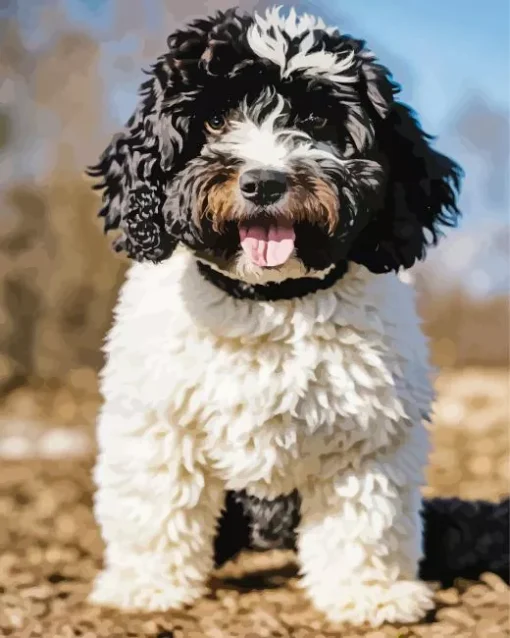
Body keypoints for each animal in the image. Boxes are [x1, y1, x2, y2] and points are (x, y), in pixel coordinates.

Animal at [86, 6, 506, 632]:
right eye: (215, 120)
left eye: (315, 119)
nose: (264, 182)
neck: (269, 300)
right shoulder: (161, 422)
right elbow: (157, 505)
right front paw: (147, 584)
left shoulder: (365, 437)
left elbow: (365, 523)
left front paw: (369, 594)